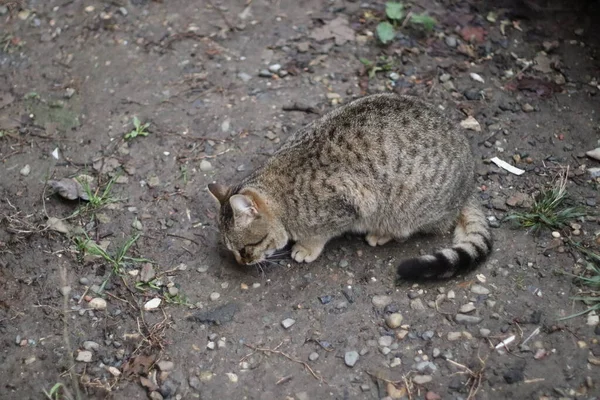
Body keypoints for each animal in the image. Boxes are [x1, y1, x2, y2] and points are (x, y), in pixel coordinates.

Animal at [206, 94, 492, 282]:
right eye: (232, 250)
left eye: (247, 247)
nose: (242, 261)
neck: (281, 194)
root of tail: (469, 183)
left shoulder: (348, 207)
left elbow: (321, 234)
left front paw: (306, 247)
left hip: (407, 209)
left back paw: (382, 233)